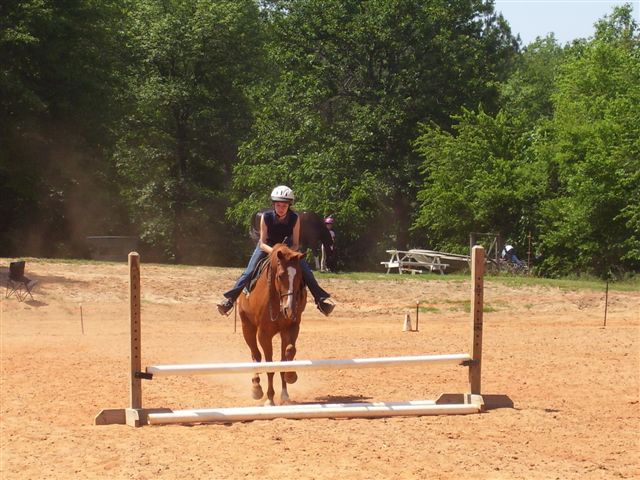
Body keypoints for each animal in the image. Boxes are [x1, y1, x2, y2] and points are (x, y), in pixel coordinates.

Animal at [238, 244, 308, 404]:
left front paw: (290, 378)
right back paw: (256, 388)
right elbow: (269, 366)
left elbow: (289, 352)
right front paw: (270, 399)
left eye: (299, 276)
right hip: (247, 327)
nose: (290, 309)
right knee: (256, 355)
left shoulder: (292, 327)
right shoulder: (264, 334)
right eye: (280, 275)